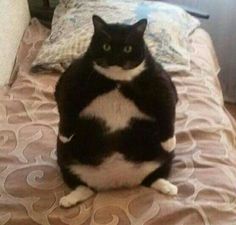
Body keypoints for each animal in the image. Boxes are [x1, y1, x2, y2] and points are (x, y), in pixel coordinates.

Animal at [54, 14, 177, 208]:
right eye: (106, 46)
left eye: (127, 48)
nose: (116, 58)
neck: (116, 80)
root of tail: (116, 180)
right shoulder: (71, 79)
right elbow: (65, 104)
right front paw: (65, 135)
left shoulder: (161, 81)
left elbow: (167, 107)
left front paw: (169, 141)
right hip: (63, 157)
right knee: (83, 186)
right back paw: (69, 199)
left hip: (165, 157)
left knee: (154, 177)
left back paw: (169, 188)